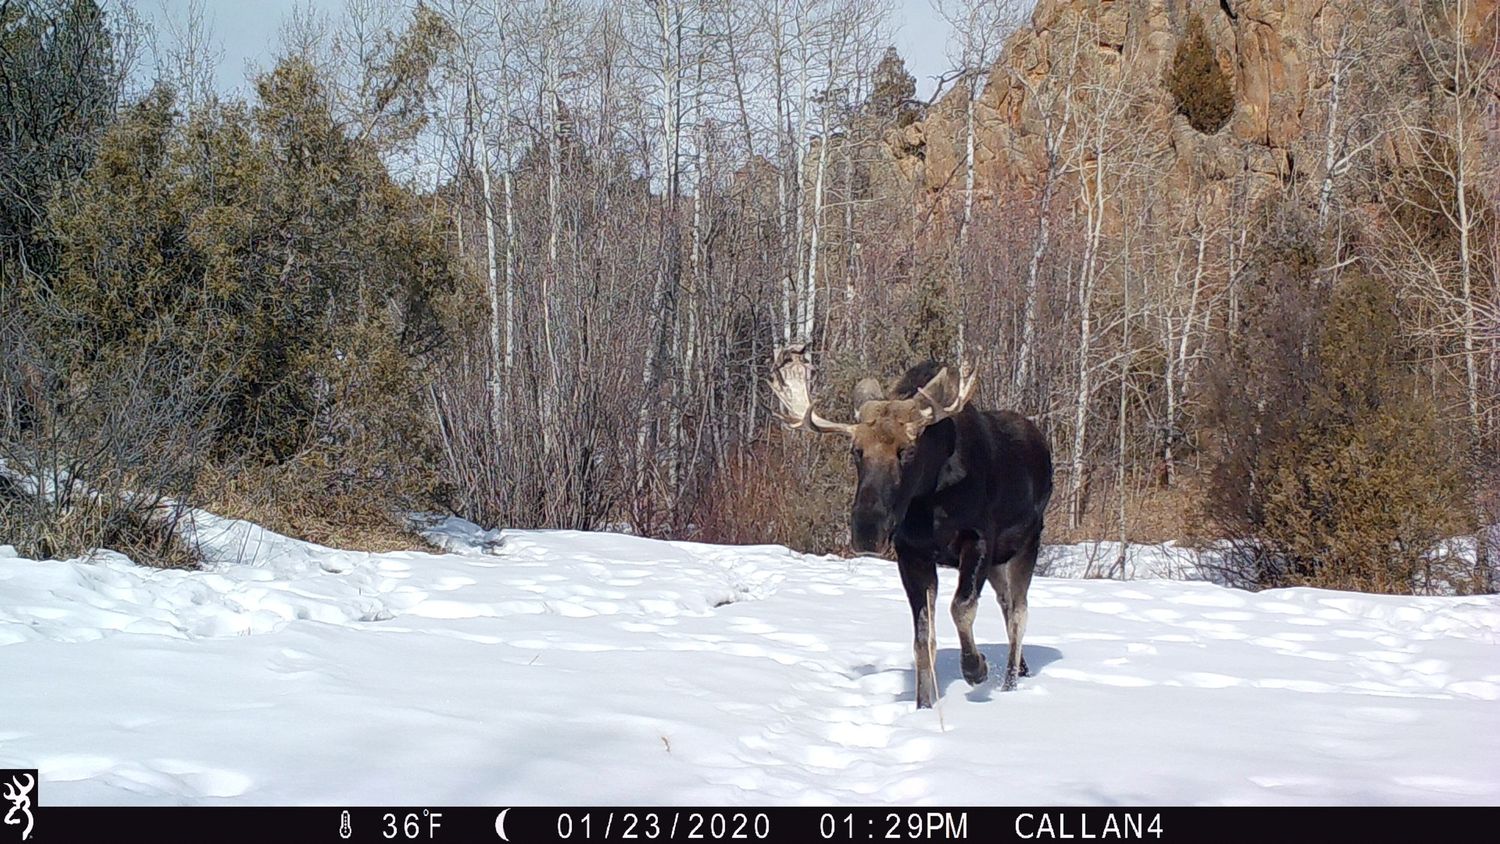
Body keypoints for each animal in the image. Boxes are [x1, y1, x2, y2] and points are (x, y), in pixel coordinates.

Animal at [770, 345, 1053, 709]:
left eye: (908, 451)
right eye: (856, 451)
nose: (867, 530)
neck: (927, 503)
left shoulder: (977, 539)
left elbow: (961, 607)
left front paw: (975, 668)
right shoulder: (911, 553)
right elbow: (923, 639)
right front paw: (923, 705)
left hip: (1027, 543)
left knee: (1019, 612)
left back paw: (1009, 683)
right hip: (997, 562)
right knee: (1006, 606)